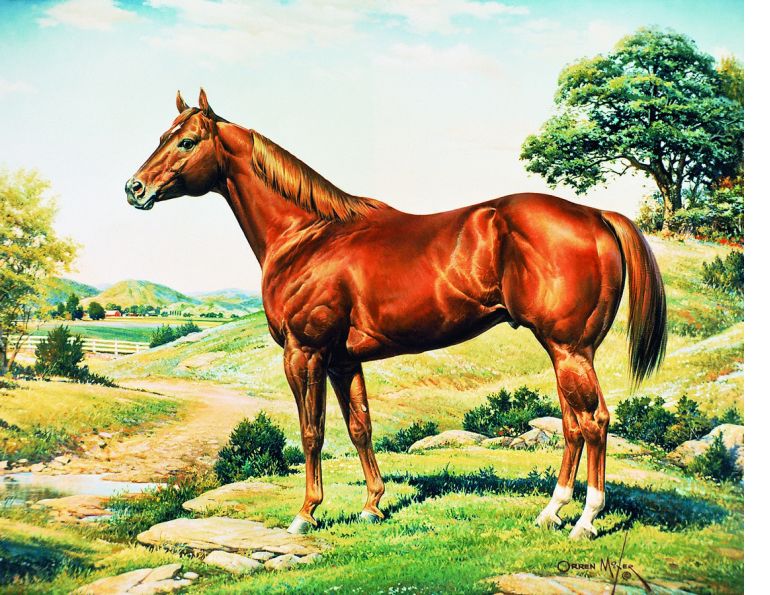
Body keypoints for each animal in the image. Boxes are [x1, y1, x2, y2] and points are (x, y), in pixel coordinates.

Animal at [125, 90, 666, 539]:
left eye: (187, 142)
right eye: (161, 137)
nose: (135, 188)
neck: (308, 236)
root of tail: (596, 216)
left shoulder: (305, 353)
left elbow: (312, 432)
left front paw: (306, 513)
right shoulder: (344, 360)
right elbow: (360, 428)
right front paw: (372, 505)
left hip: (569, 349)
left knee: (593, 421)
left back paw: (586, 520)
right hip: (565, 352)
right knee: (573, 424)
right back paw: (551, 512)